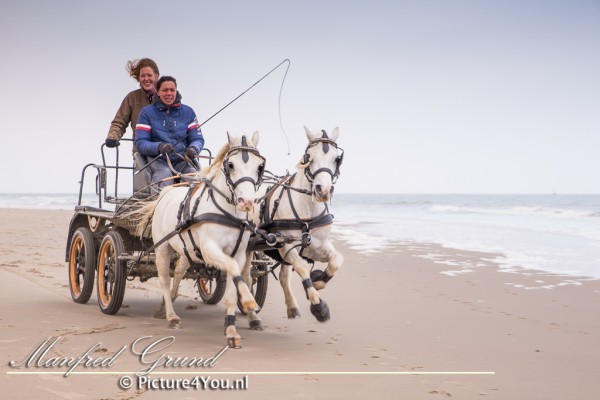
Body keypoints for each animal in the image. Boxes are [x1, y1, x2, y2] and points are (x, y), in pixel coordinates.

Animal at [137, 131, 268, 346]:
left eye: (260, 166)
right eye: (230, 165)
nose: (247, 202)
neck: (228, 214)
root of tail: (167, 191)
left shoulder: (239, 253)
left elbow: (234, 283)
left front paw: (231, 330)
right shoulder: (209, 250)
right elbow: (232, 268)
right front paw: (249, 301)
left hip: (187, 250)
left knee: (179, 271)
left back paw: (168, 301)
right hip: (162, 247)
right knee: (164, 279)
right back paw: (171, 316)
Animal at [260, 127, 344, 322]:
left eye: (337, 159)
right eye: (309, 157)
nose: (323, 191)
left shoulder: (316, 245)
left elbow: (336, 261)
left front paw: (318, 280)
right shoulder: (286, 245)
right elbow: (302, 267)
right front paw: (319, 306)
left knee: (283, 275)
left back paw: (292, 306)